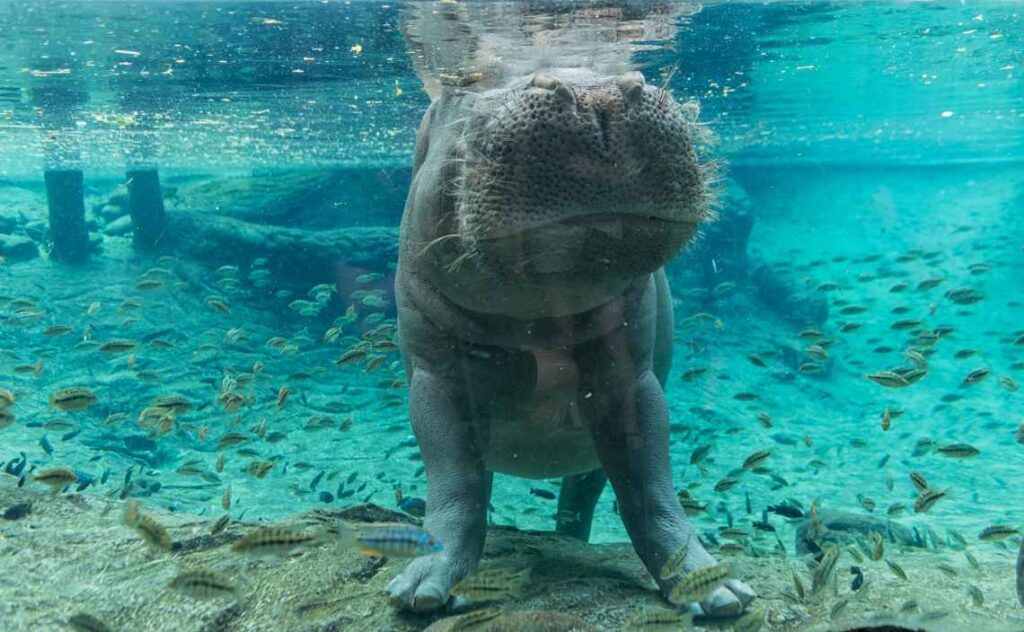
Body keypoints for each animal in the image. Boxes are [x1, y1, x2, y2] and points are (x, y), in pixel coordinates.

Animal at [387, 1, 757, 622]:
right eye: (464, 86)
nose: (597, 92)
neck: (540, 315)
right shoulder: (436, 373)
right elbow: (455, 481)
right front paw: (423, 589)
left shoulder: (630, 378)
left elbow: (650, 486)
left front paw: (717, 589)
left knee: (582, 496)